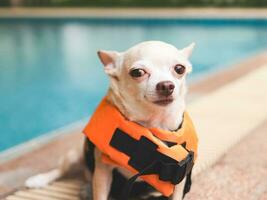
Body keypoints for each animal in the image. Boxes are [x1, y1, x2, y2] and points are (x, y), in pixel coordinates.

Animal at [26, 41, 196, 200]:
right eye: (138, 72)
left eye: (179, 69)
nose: (166, 85)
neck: (153, 123)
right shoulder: (103, 170)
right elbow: (100, 195)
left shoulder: (179, 176)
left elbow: (176, 195)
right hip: (74, 156)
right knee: (60, 170)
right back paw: (41, 180)